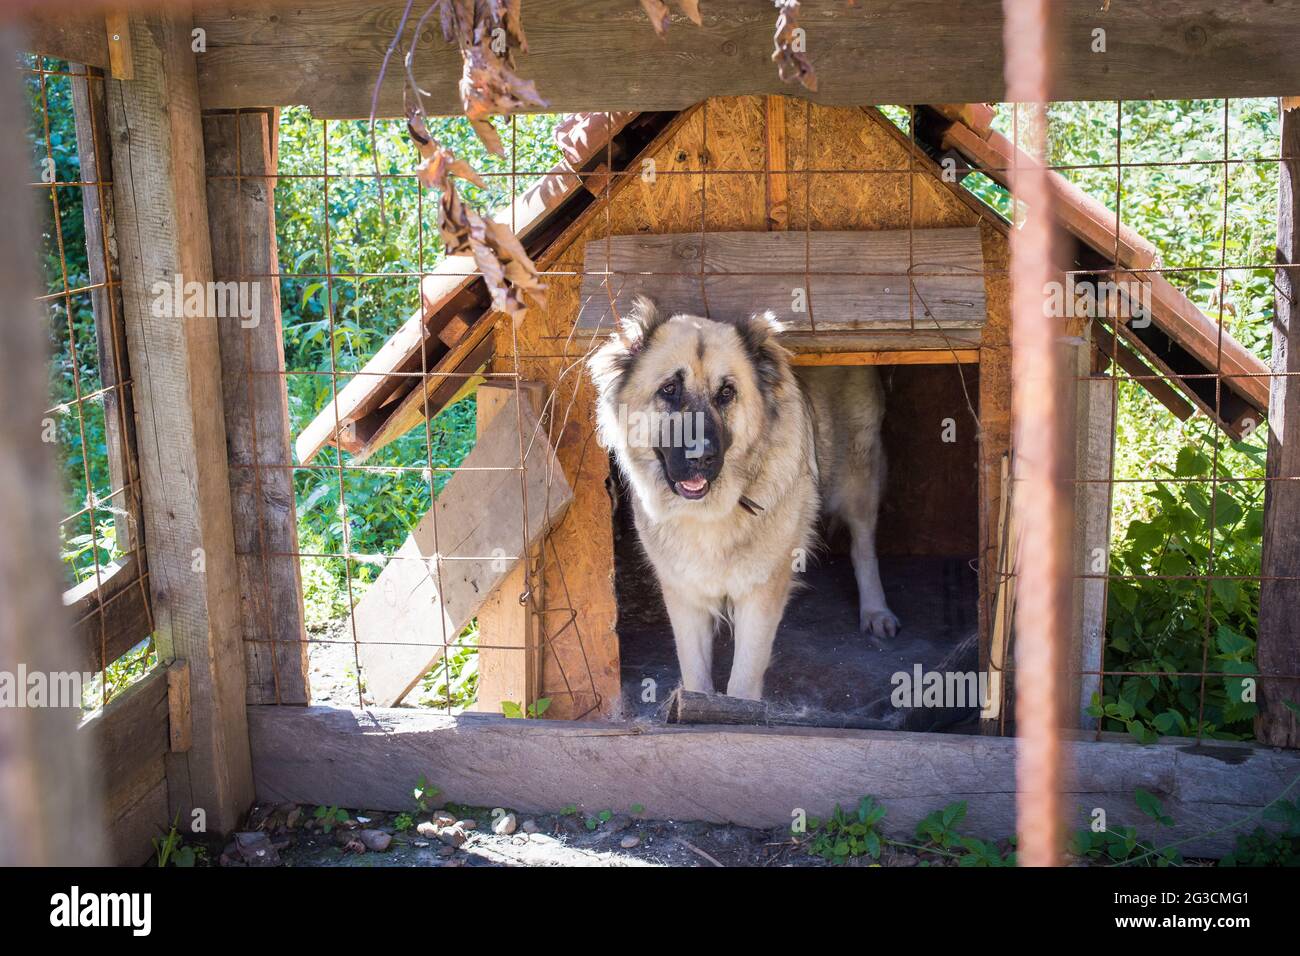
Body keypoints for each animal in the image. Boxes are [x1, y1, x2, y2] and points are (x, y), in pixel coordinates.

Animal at [587, 295, 899, 697]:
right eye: (669, 389)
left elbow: (743, 681)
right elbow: (696, 675)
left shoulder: (760, 595)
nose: (700, 456)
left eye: (726, 393)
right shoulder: (684, 596)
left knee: (863, 546)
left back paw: (876, 611)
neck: (708, 514)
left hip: (858, 477)